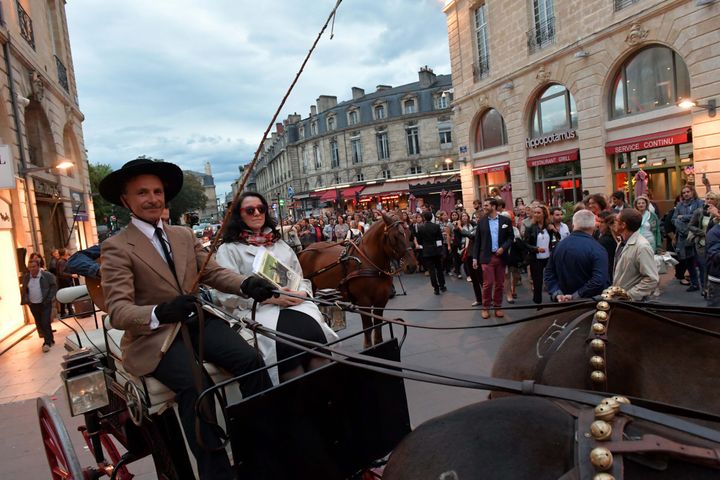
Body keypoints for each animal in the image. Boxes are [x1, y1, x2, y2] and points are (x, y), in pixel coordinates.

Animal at [296, 212, 416, 346]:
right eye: (395, 237)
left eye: (409, 234)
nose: (411, 265)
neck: (369, 262)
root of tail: (305, 250)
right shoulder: (364, 301)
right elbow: (368, 327)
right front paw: (368, 346)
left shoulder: (381, 300)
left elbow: (378, 324)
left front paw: (379, 343)